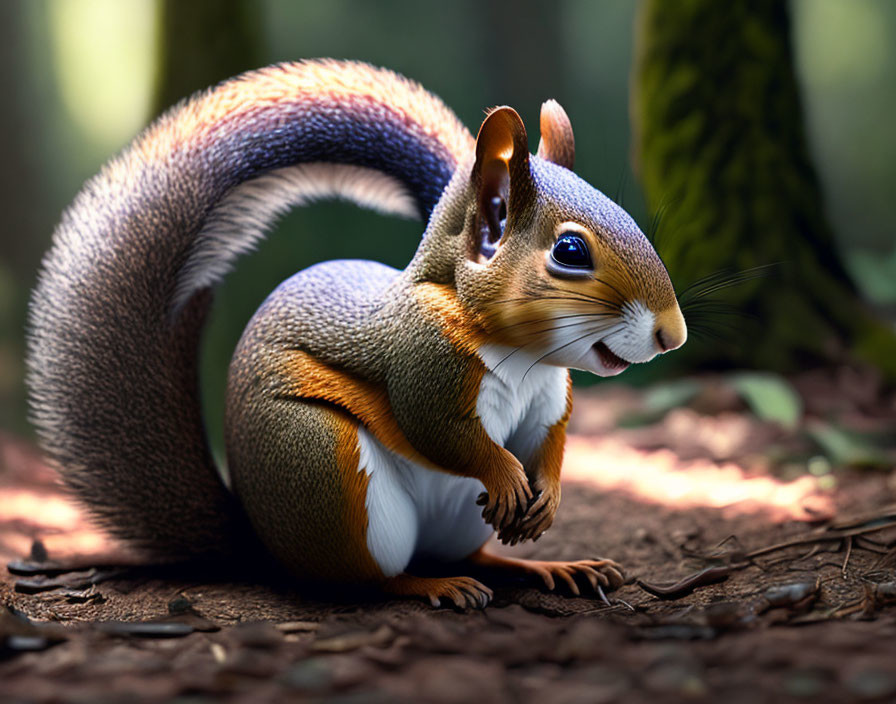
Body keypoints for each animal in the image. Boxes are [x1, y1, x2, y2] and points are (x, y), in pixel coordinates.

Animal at [28, 60, 688, 608]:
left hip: (449, 519)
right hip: (326, 466)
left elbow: (547, 443)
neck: (522, 354)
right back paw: (431, 586)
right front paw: (503, 474)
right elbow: (443, 432)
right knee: (365, 578)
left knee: (472, 555)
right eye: (570, 252)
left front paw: (546, 496)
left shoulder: (549, 398)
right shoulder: (423, 359)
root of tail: (264, 545)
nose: (672, 335)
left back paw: (545, 568)